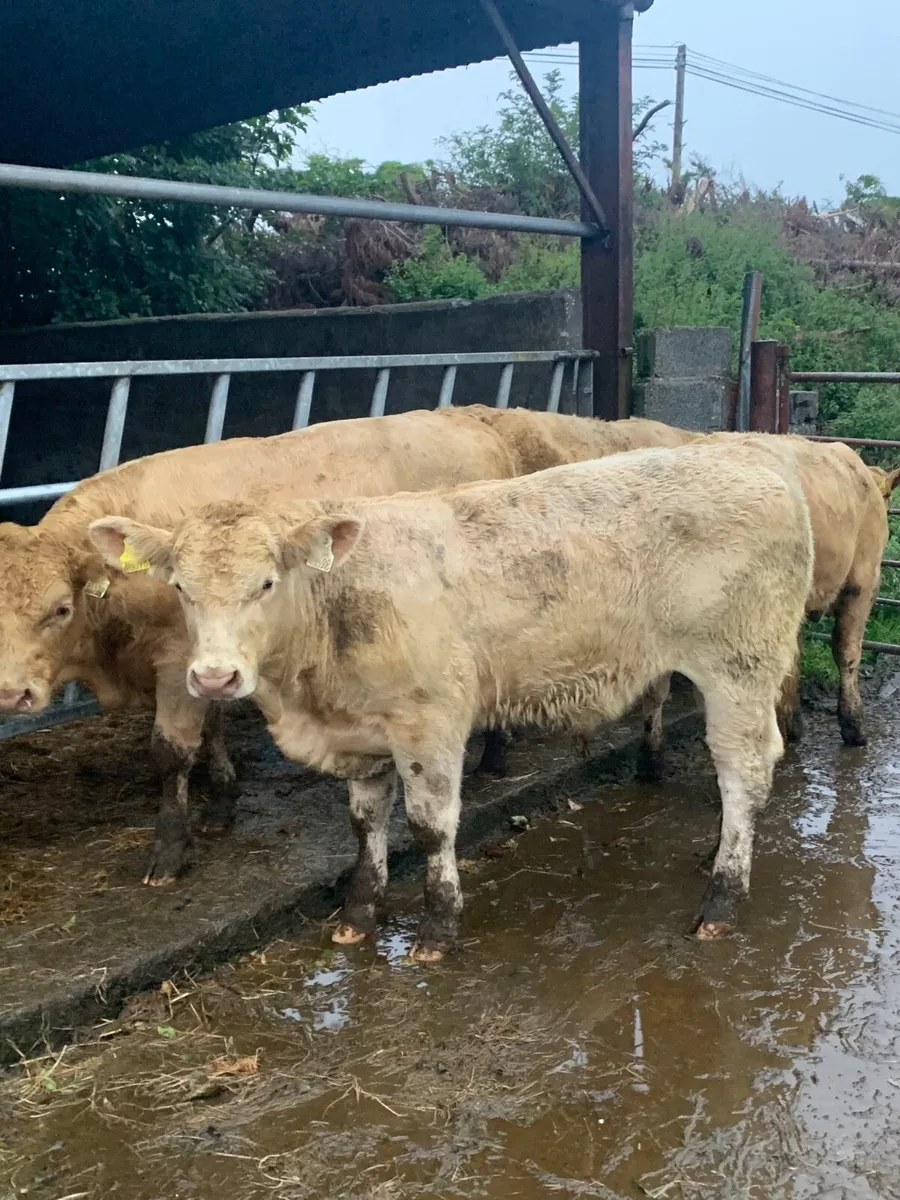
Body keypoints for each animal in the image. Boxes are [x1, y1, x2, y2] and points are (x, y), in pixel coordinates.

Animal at [0, 404, 692, 884]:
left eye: (59, 609)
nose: (12, 695)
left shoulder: (176, 667)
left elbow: (171, 755)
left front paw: (170, 851)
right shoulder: (208, 662)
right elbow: (214, 731)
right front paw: (222, 805)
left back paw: (495, 755)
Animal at [90, 442, 813, 958]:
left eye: (266, 583)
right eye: (179, 587)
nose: (213, 679)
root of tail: (754, 462)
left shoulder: (429, 721)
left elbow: (431, 825)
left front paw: (437, 928)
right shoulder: (361, 733)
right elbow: (365, 823)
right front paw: (359, 914)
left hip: (738, 666)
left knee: (744, 770)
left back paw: (722, 898)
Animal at [636, 435, 900, 783]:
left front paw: (794, 723)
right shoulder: (863, 581)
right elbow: (847, 653)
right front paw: (853, 726)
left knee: (657, 685)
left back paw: (650, 760)